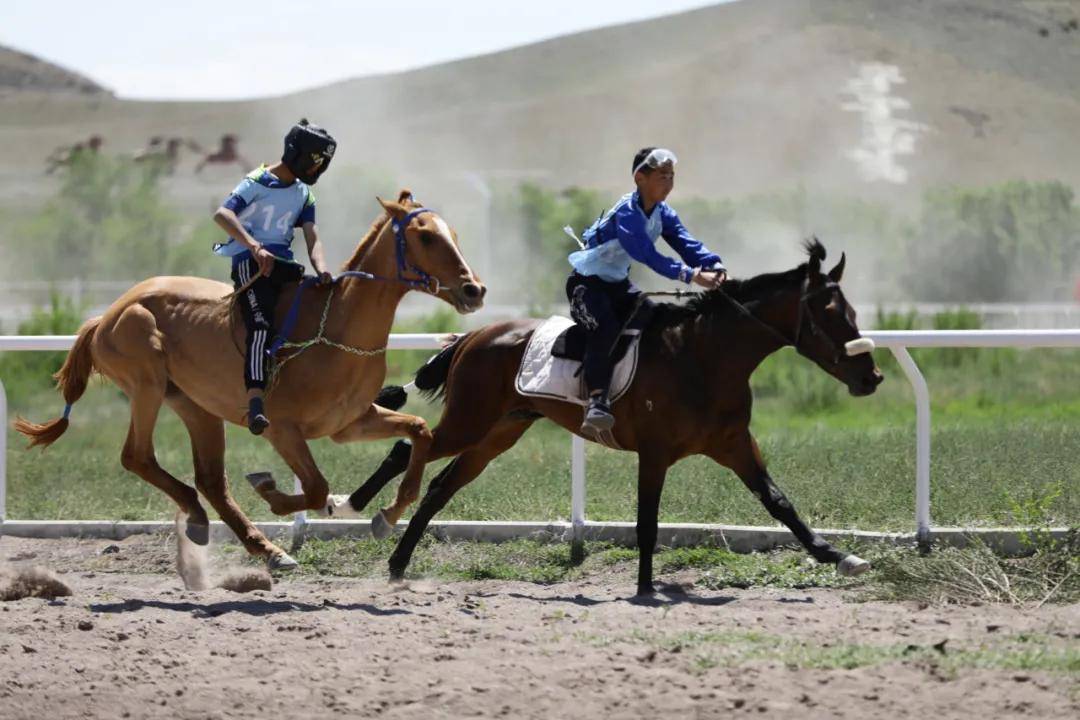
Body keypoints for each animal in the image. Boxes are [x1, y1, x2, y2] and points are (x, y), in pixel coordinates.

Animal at [12, 189, 483, 569]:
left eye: (455, 233)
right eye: (425, 235)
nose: (473, 290)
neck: (336, 329)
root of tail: (107, 315)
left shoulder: (351, 423)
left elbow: (418, 430)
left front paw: (387, 515)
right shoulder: (283, 430)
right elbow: (316, 488)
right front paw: (275, 492)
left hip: (194, 405)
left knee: (209, 480)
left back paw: (256, 545)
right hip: (146, 384)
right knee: (138, 457)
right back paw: (213, 521)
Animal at [332, 239, 881, 595]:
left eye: (852, 310)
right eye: (831, 313)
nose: (871, 376)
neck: (703, 355)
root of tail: (472, 336)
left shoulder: (734, 444)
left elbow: (779, 503)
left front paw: (840, 556)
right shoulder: (655, 453)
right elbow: (647, 521)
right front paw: (644, 586)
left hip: (500, 431)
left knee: (442, 484)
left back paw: (397, 561)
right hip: (471, 419)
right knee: (411, 445)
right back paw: (362, 507)